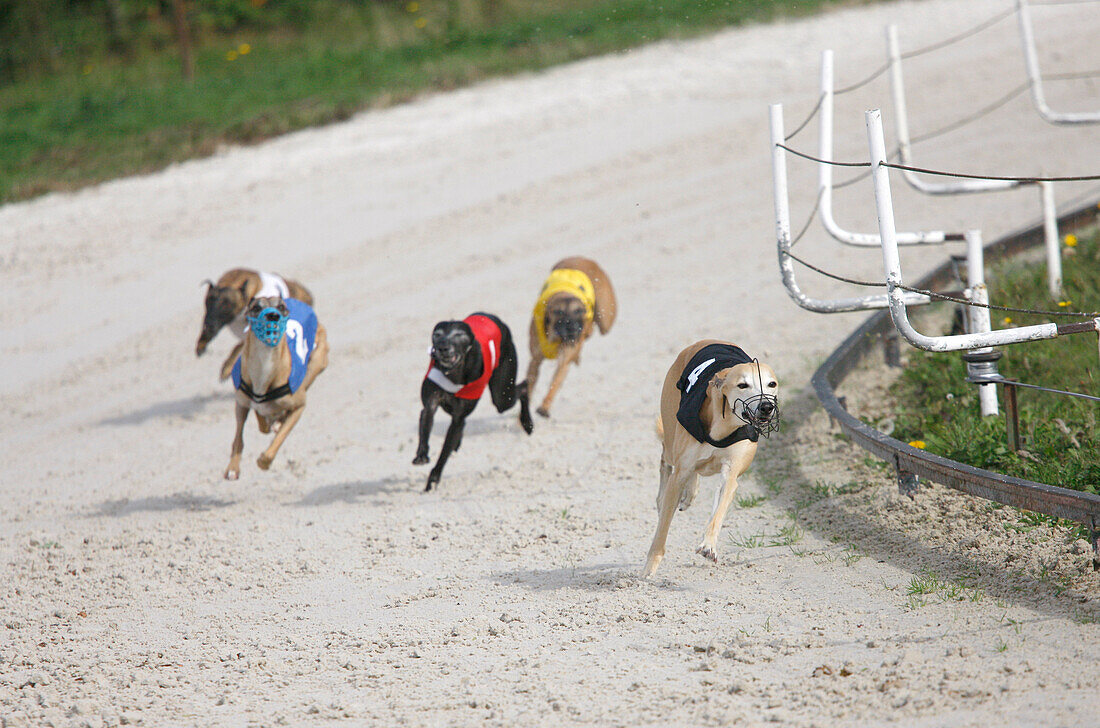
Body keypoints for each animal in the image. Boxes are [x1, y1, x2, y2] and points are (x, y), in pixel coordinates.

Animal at [642, 338, 778, 580]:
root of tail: (703, 342)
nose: (766, 407)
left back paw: (690, 494)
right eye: (742, 385)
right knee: (666, 461)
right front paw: (650, 566)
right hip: (671, 438)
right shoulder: (678, 476)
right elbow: (662, 528)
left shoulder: (731, 475)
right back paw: (664, 497)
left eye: (772, 384)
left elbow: (720, 508)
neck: (724, 426)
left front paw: (709, 546)